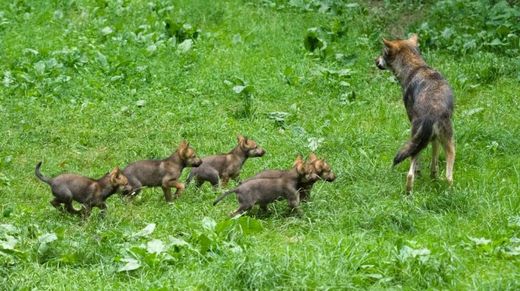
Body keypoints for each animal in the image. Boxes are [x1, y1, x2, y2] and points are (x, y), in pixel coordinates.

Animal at [374, 34, 456, 194]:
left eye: (382, 52)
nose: (375, 61)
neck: (416, 66)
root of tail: (431, 114)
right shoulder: (433, 139)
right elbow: (434, 160)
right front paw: (433, 176)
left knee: (410, 174)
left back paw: (409, 193)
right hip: (449, 145)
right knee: (448, 178)